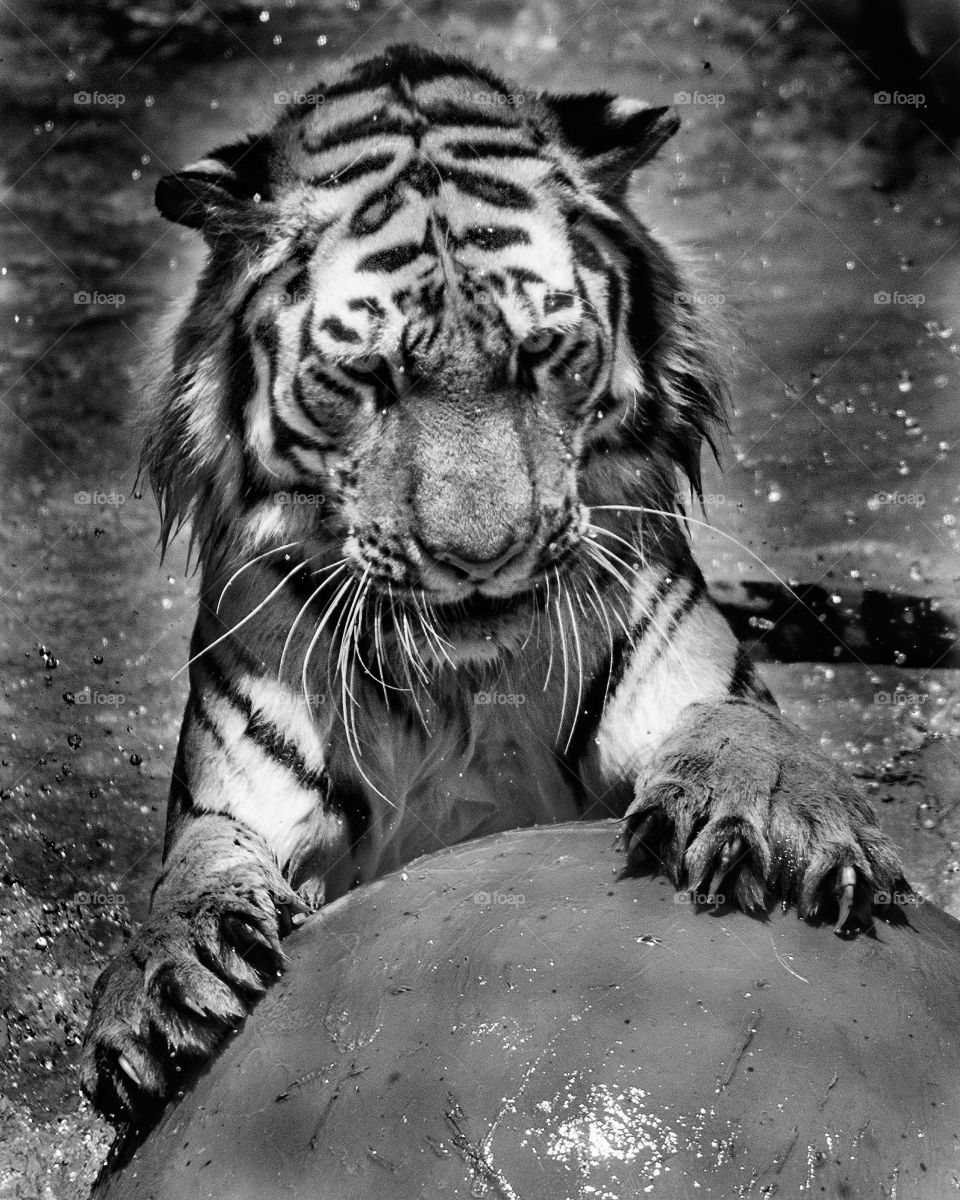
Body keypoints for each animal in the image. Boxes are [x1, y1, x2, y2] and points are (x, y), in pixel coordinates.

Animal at [80, 42, 905, 1122]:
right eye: (367, 376)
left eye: (542, 354)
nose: (480, 556)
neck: (468, 689)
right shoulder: (243, 789)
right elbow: (191, 867)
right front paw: (161, 982)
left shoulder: (685, 673)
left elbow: (747, 729)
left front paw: (775, 817)